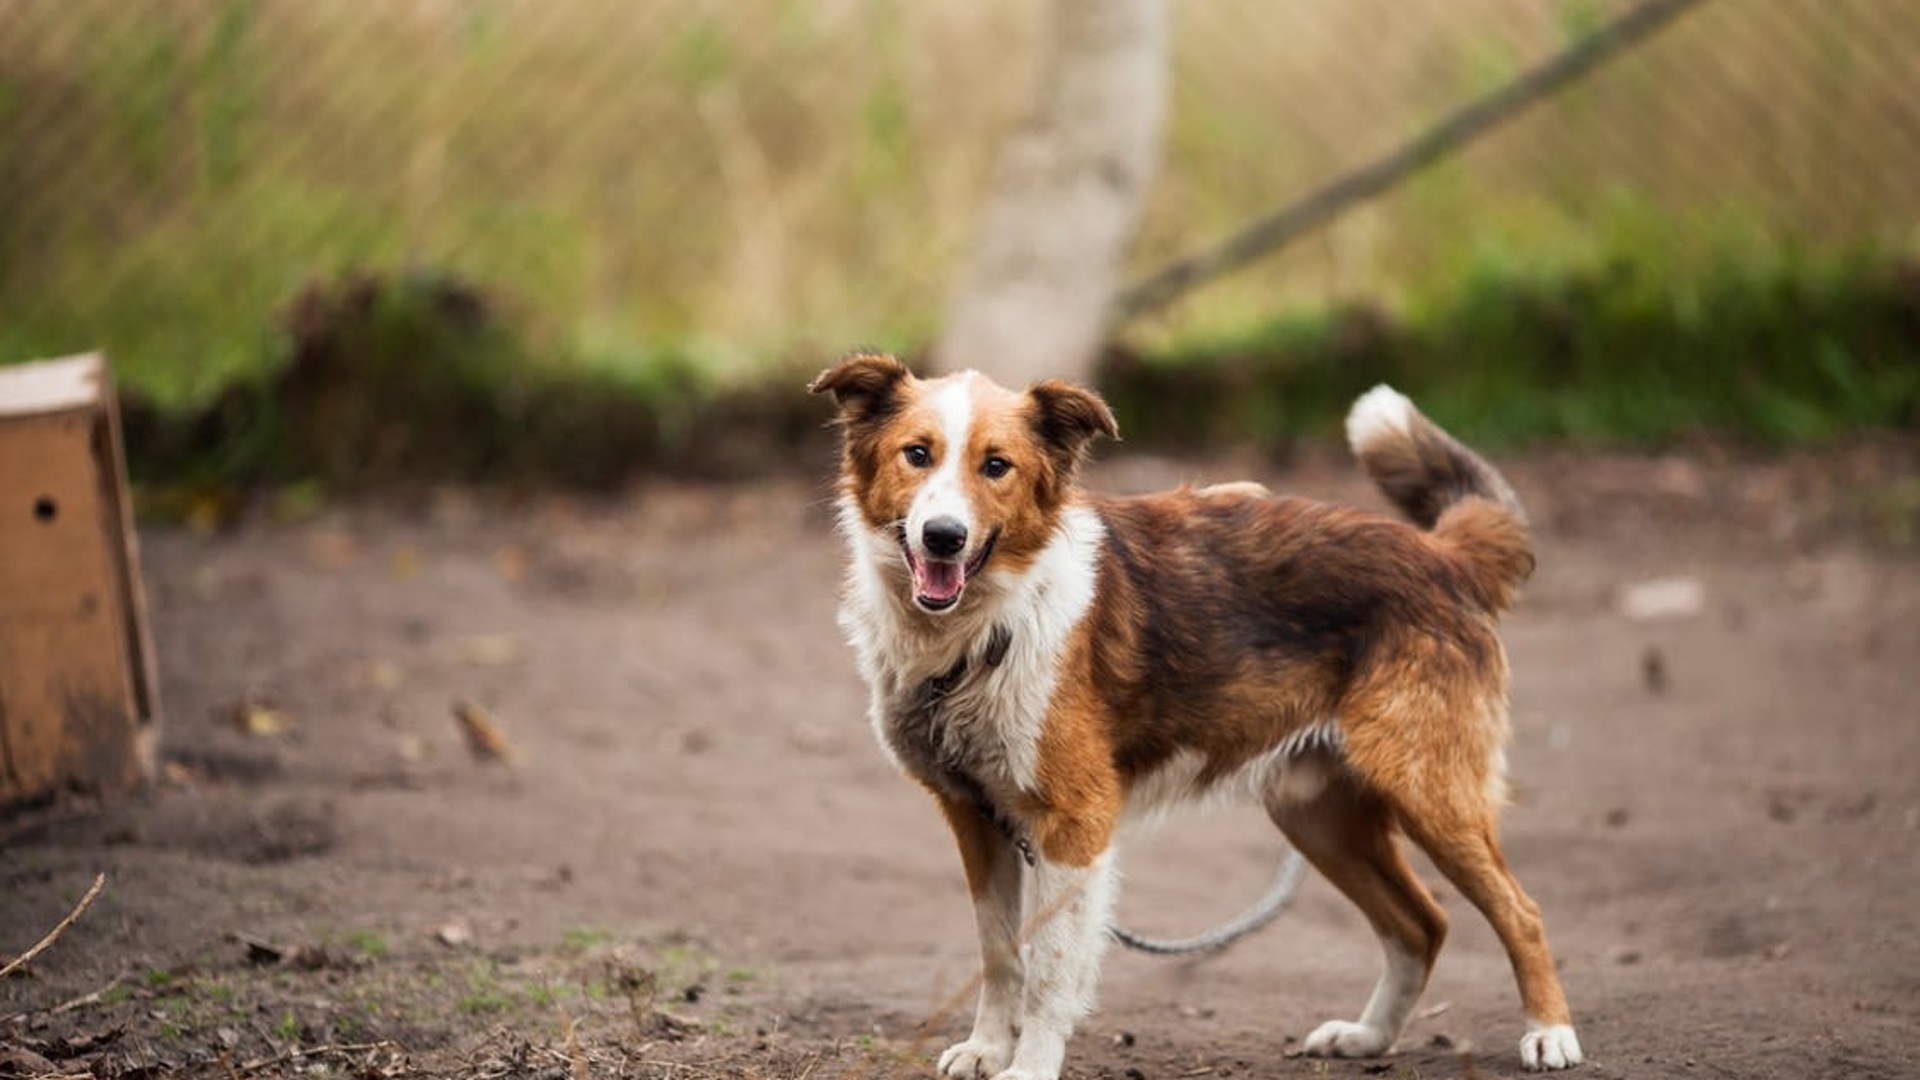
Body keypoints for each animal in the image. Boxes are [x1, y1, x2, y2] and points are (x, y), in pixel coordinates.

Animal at [810, 353, 1574, 1076]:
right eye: (917, 454)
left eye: (996, 466)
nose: (943, 536)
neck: (988, 626)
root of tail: (1444, 555)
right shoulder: (977, 817)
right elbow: (1000, 951)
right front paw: (987, 1049)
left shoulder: (1072, 825)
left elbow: (1050, 969)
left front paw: (1029, 1067)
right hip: (1316, 813)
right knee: (1422, 924)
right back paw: (1368, 1036)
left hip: (1428, 791)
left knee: (1521, 913)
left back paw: (1550, 1035)